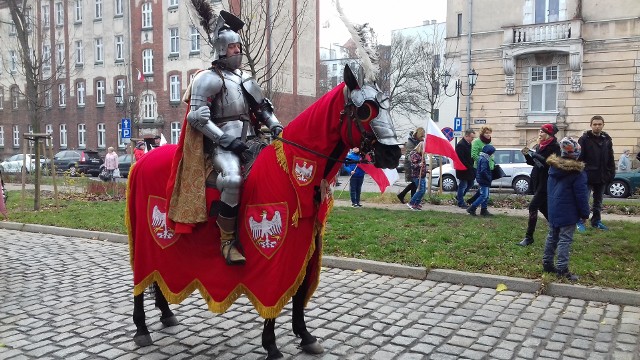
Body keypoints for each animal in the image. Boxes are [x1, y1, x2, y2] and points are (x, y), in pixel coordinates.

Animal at [126, 65, 400, 360]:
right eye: (366, 111)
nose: (393, 155)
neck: (290, 171)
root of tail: (142, 160)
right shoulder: (276, 257)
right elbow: (275, 298)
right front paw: (271, 345)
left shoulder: (306, 247)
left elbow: (299, 292)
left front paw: (305, 336)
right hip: (146, 238)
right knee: (140, 280)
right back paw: (141, 329)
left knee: (156, 274)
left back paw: (166, 314)